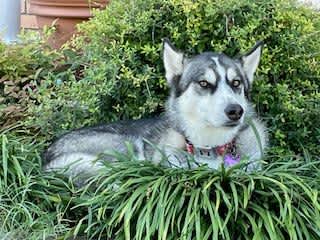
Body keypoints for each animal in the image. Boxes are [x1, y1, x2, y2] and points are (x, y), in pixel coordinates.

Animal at [43, 39, 268, 177]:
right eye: (204, 83)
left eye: (236, 83)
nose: (235, 111)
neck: (209, 148)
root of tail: (46, 158)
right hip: (129, 145)